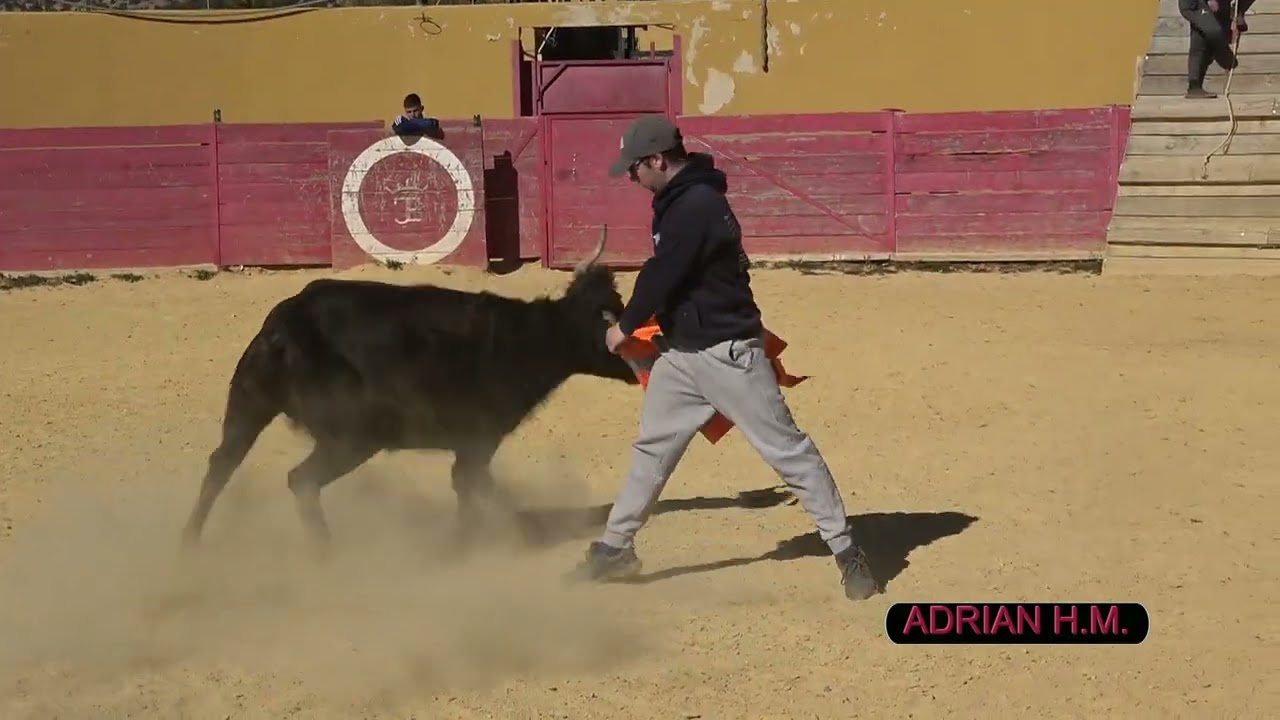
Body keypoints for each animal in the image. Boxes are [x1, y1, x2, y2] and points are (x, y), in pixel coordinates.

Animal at [180, 230, 637, 556]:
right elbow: (476, 486)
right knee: (300, 480)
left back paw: (190, 543)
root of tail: (286, 324)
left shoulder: (473, 443)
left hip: (250, 404)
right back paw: (326, 552)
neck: (525, 339)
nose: (639, 368)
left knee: (221, 465)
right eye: (609, 317)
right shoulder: (478, 439)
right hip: (351, 437)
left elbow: (470, 487)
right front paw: (477, 540)